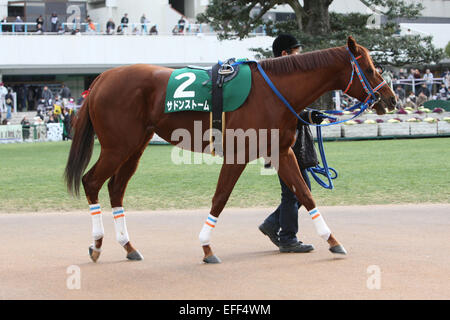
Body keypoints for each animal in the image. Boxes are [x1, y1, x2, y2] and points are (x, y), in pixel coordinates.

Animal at [65, 37, 396, 262]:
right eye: (369, 68)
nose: (391, 98)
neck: (273, 91)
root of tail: (102, 78)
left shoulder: (281, 152)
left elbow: (304, 194)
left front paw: (332, 239)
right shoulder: (238, 155)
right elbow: (220, 198)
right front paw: (206, 246)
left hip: (135, 147)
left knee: (116, 188)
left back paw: (129, 246)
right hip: (117, 146)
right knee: (92, 182)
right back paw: (97, 244)